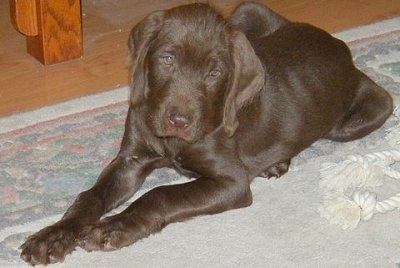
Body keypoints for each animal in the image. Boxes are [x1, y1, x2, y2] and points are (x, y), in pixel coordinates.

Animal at [20, 2, 392, 264]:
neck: (173, 143)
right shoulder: (131, 160)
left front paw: (114, 226)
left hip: (370, 111)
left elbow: (161, 194)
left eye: (214, 72)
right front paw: (53, 236)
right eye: (167, 59)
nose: (179, 120)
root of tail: (338, 44)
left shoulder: (231, 182)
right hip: (246, 12)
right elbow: (90, 197)